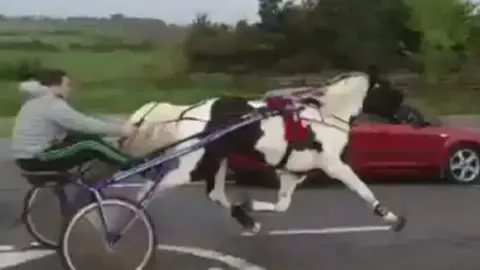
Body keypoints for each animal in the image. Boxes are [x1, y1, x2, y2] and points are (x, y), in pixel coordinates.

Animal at [120, 71, 404, 234]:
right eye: (393, 94)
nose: (412, 118)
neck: (324, 116)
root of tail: (189, 111)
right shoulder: (334, 165)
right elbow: (363, 190)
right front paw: (392, 218)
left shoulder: (292, 172)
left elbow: (281, 206)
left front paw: (248, 204)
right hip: (194, 165)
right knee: (148, 190)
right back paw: (128, 219)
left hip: (217, 162)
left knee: (216, 194)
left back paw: (248, 220)